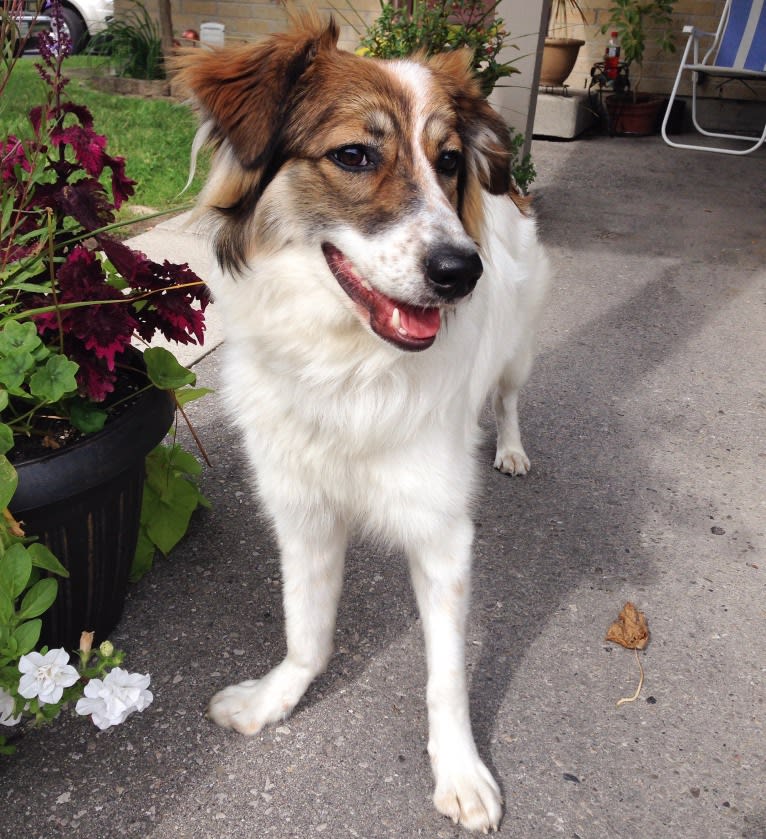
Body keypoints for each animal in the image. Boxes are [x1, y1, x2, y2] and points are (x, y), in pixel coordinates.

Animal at [173, 14, 548, 832]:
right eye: (354, 155)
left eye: (447, 162)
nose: (461, 272)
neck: (348, 367)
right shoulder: (301, 507)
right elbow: (306, 631)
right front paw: (275, 698)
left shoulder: (442, 531)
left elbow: (447, 675)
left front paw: (461, 770)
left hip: (516, 353)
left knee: (508, 396)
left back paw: (508, 447)